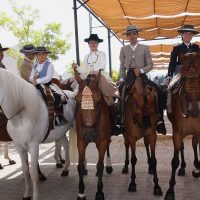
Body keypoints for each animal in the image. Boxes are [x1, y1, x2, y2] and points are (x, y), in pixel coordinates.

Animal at [0, 68, 76, 199]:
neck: (22, 115)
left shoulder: (34, 146)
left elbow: (33, 172)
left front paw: (35, 195)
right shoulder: (19, 147)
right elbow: (25, 171)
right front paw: (26, 194)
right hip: (61, 133)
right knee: (66, 145)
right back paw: (65, 169)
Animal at [74, 70, 111, 200]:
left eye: (99, 101)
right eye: (76, 100)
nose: (89, 134)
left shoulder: (103, 141)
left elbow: (100, 166)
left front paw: (99, 192)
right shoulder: (81, 140)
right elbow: (80, 166)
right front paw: (81, 192)